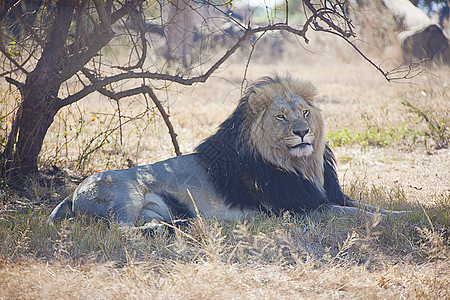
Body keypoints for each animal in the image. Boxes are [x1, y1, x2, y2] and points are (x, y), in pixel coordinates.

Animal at [50, 75, 400, 230]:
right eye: (281, 117)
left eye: (305, 112)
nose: (303, 132)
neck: (302, 164)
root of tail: (73, 192)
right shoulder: (302, 209)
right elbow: (354, 214)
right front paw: (388, 221)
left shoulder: (327, 196)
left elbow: (367, 206)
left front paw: (404, 214)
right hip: (125, 195)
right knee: (121, 230)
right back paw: (157, 232)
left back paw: (175, 227)